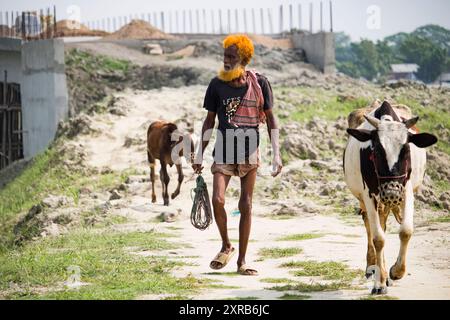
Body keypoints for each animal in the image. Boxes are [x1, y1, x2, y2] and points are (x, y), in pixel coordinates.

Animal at [344, 101, 436, 294]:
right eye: (377, 151)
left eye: (406, 149)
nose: (391, 192)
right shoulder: (369, 195)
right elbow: (378, 239)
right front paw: (379, 282)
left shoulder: (406, 190)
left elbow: (406, 230)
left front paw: (397, 271)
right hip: (366, 201)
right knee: (370, 227)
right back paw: (374, 267)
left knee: (383, 222)